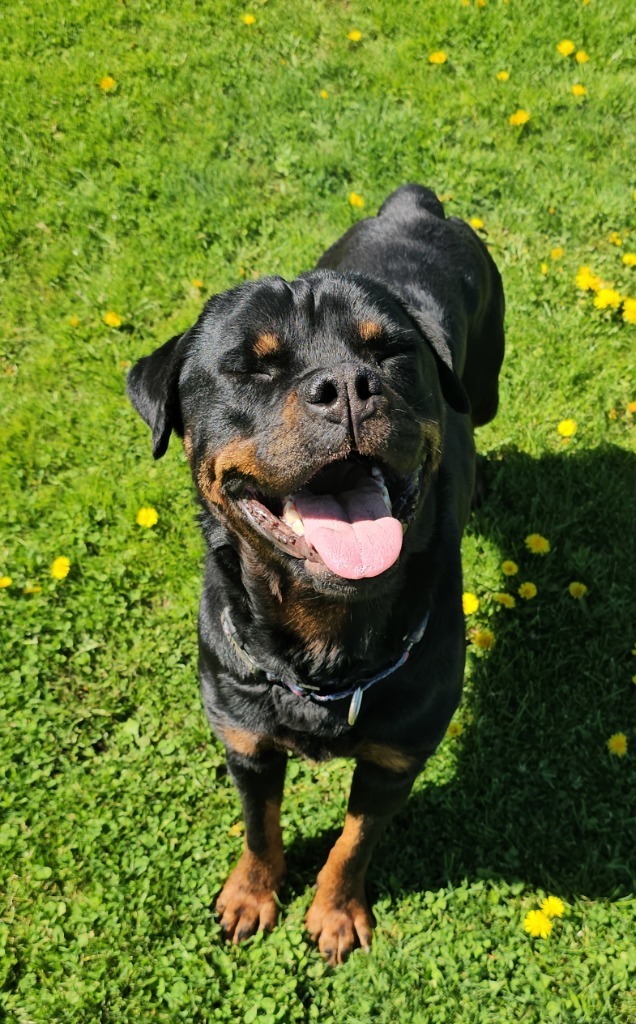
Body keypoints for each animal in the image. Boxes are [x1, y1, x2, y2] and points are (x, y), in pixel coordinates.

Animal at [127, 182, 505, 958]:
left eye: (390, 352)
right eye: (250, 367)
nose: (349, 385)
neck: (325, 637)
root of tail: (414, 204)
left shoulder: (397, 757)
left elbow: (353, 844)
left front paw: (334, 912)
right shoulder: (244, 742)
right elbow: (259, 828)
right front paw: (251, 895)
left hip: (485, 381)